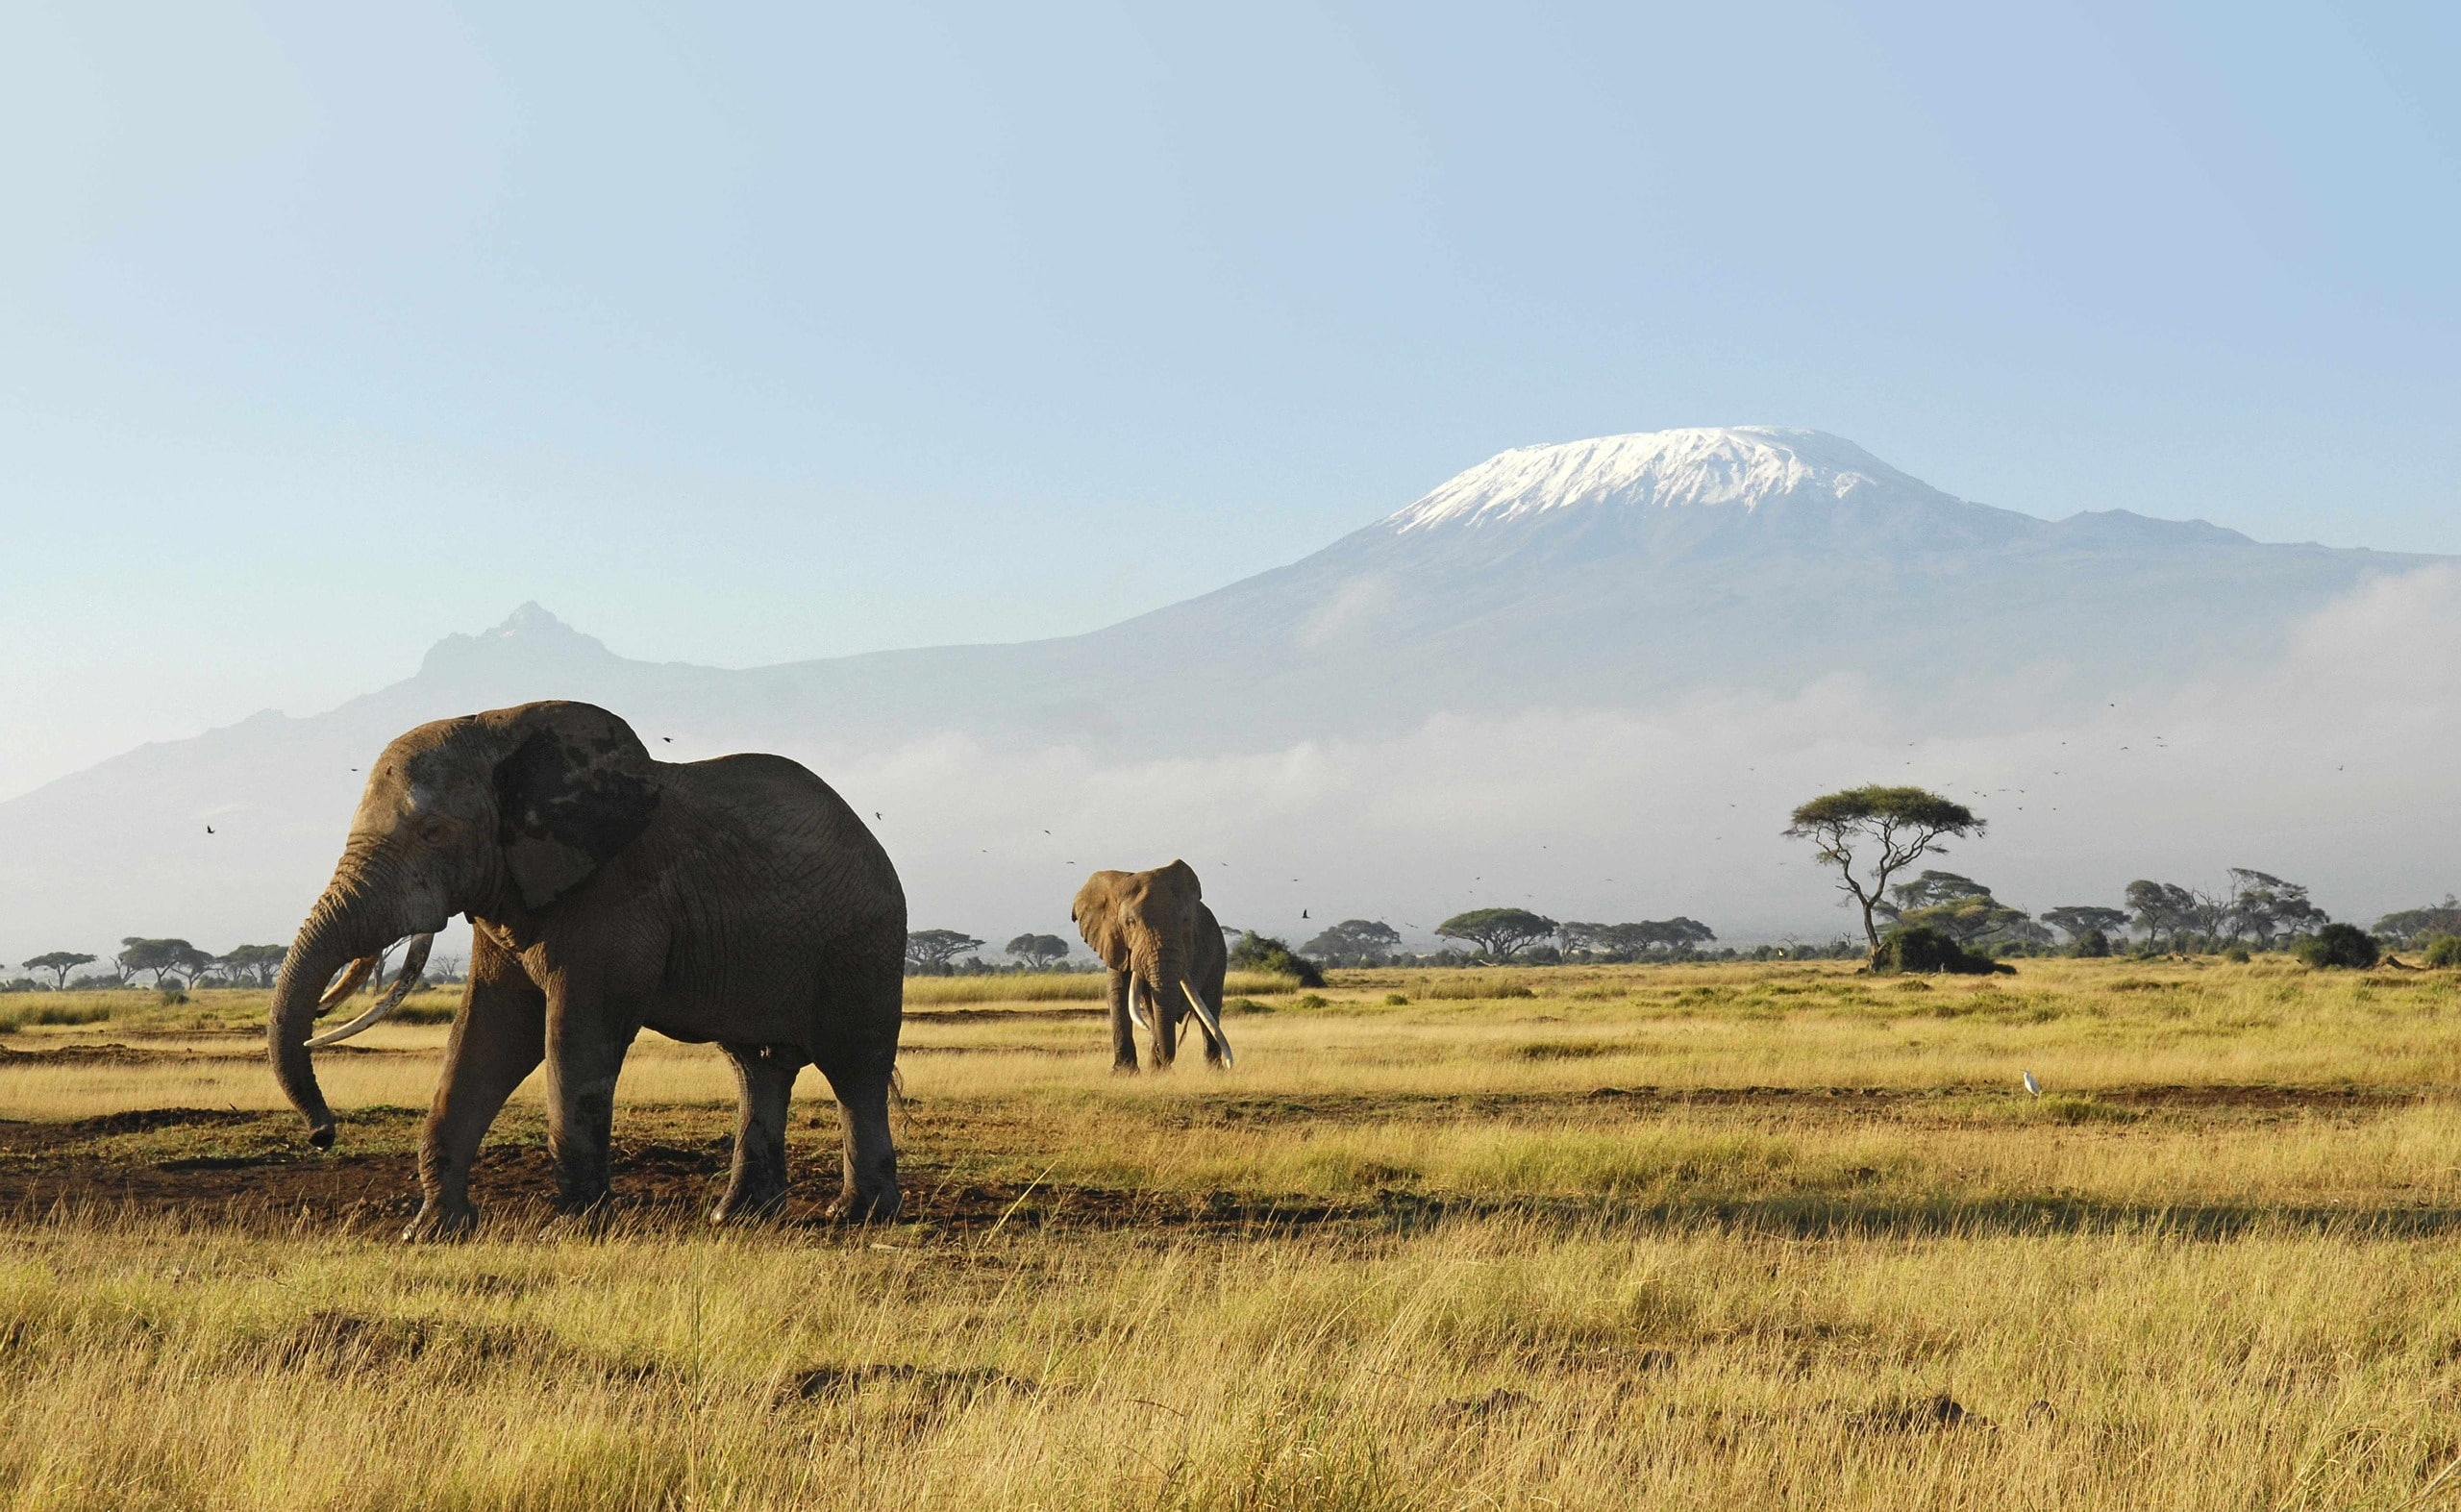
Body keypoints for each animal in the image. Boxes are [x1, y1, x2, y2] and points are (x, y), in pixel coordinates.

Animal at [267, 700, 906, 1239]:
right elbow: (489, 1037)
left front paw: (571, 1230)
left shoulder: (614, 895)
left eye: (433, 832)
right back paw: (737, 1217)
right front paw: (431, 1233)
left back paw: (858, 1216)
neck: (500, 730)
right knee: (758, 1066)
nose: (323, 1135)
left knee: (855, 1068)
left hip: (864, 944)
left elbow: (575, 1037)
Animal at [1070, 861, 1232, 1073]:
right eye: (1130, 923)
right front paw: (1124, 1073)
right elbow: (1118, 992)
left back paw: (1213, 1071)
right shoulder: (1114, 941)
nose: (1166, 1061)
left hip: (1219, 953)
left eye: (1185, 922)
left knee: (1209, 1009)